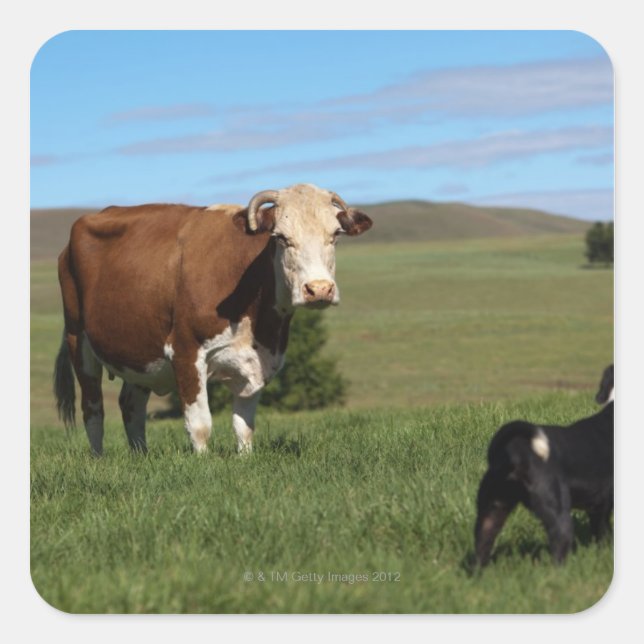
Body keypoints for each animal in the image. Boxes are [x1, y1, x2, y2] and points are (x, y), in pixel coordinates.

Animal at [53, 183, 372, 455]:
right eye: (281, 237)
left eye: (335, 235)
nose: (319, 289)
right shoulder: (185, 351)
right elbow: (200, 424)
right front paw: (203, 463)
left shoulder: (259, 359)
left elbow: (244, 425)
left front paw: (245, 458)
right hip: (79, 341)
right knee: (93, 409)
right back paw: (98, 458)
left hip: (139, 351)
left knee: (131, 405)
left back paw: (140, 456)